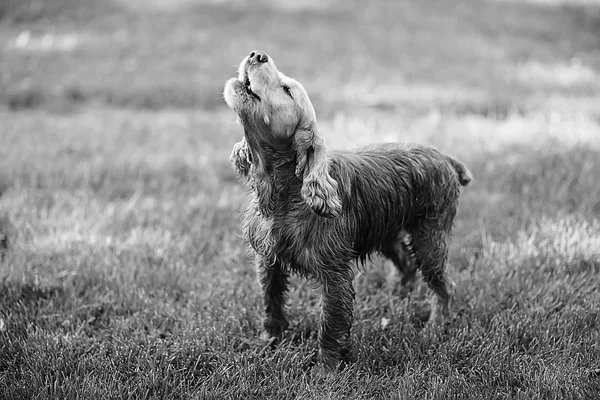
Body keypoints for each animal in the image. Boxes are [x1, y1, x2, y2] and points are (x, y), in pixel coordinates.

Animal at [223, 50, 472, 372]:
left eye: (287, 90)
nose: (258, 54)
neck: (285, 194)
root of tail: (445, 157)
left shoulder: (335, 276)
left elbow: (330, 325)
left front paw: (326, 371)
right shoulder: (268, 262)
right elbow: (271, 305)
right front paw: (269, 343)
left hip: (430, 240)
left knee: (444, 287)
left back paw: (434, 327)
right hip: (389, 234)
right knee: (406, 266)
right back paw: (397, 297)